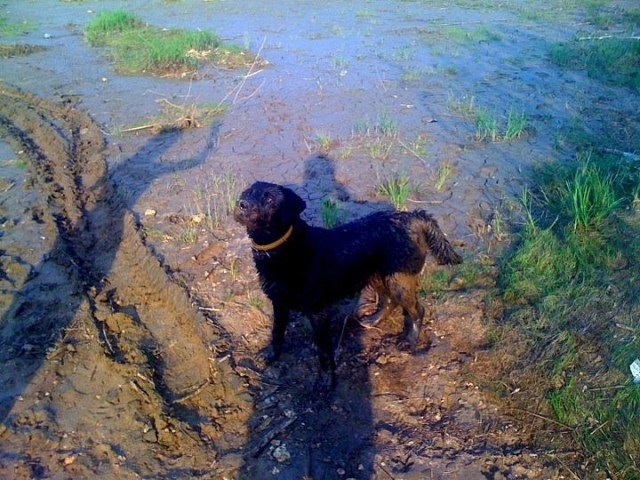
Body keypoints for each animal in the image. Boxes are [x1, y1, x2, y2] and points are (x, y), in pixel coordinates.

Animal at [234, 181, 460, 386]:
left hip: (398, 279)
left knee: (417, 310)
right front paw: (272, 355)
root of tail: (414, 216)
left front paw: (326, 380)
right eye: (248, 192)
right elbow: (277, 332)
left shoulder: (318, 312)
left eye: (270, 199)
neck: (284, 248)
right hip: (375, 274)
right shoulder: (279, 302)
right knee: (388, 301)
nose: (242, 204)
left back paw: (409, 340)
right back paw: (373, 320)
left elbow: (323, 348)